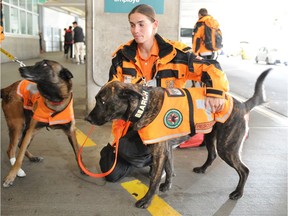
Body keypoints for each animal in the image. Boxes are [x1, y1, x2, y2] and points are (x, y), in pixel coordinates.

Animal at [1, 59, 81, 187]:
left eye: (44, 65)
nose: (21, 69)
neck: (54, 100)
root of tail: (6, 89)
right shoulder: (31, 130)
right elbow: (19, 158)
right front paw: (10, 176)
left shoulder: (70, 131)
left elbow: (77, 151)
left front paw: (83, 168)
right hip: (18, 126)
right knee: (12, 150)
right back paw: (17, 171)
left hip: (27, 128)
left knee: (20, 144)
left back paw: (33, 158)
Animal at [85, 69, 270, 208]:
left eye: (102, 101)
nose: (87, 118)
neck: (143, 104)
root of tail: (242, 105)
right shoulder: (166, 149)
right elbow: (169, 168)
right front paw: (167, 185)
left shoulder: (159, 152)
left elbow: (154, 179)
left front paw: (147, 200)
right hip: (210, 137)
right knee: (212, 155)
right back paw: (202, 168)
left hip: (227, 147)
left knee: (244, 170)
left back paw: (238, 193)